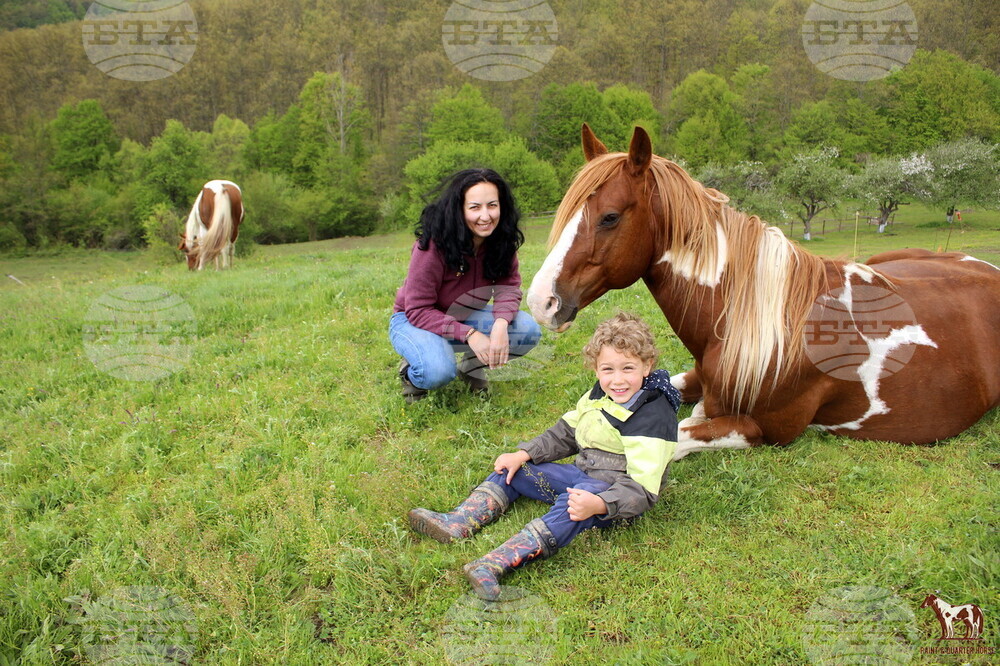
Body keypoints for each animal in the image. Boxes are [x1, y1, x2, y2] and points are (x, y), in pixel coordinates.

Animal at [527, 125, 1000, 458]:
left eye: (609, 217)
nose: (541, 301)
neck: (757, 321)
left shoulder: (767, 429)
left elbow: (676, 431)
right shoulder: (696, 377)